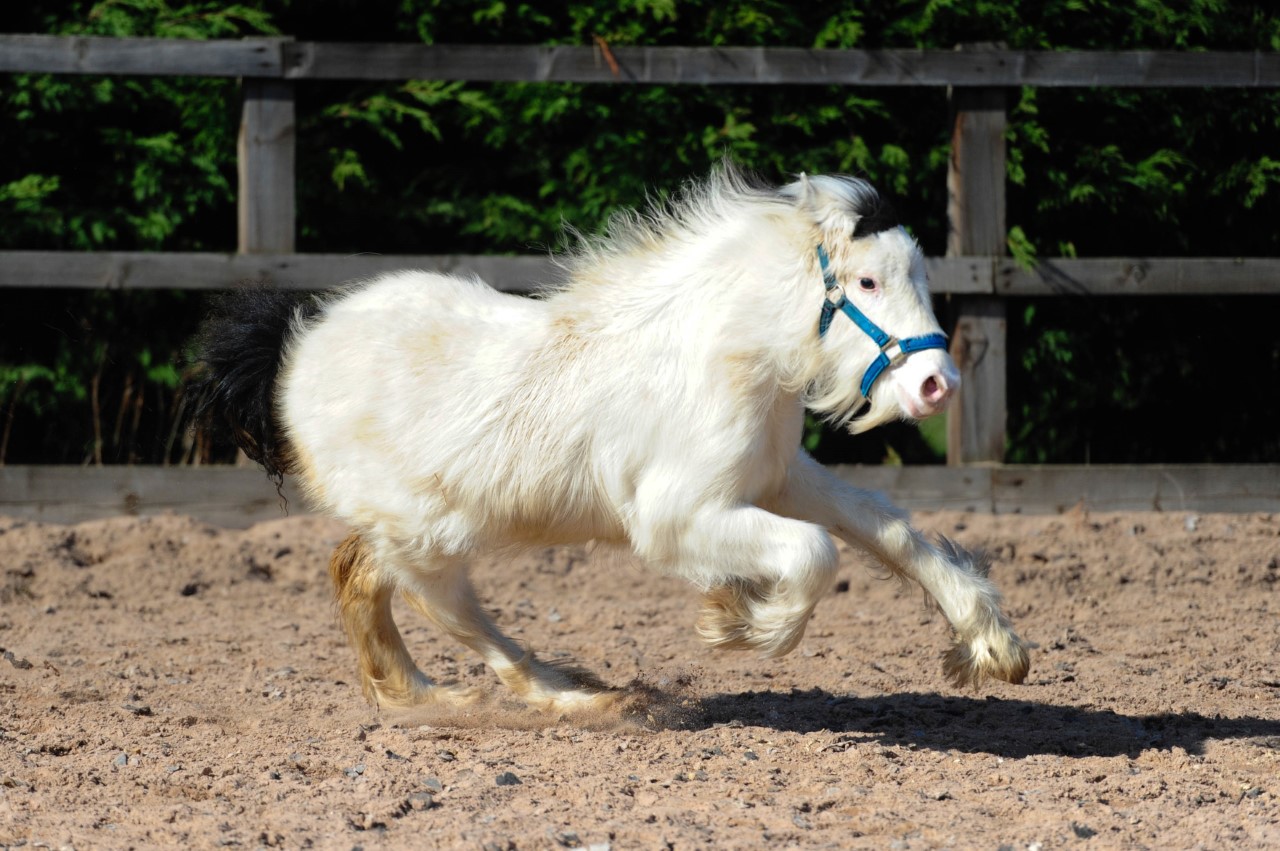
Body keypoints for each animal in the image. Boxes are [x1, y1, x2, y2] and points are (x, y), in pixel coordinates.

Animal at [192, 163, 1029, 711]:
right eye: (865, 282)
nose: (937, 385)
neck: (719, 355)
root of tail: (295, 348)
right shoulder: (673, 518)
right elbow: (815, 554)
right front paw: (738, 624)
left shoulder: (778, 478)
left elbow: (889, 532)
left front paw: (993, 646)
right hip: (430, 533)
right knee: (448, 611)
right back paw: (579, 698)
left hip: (413, 527)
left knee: (361, 576)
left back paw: (421, 696)